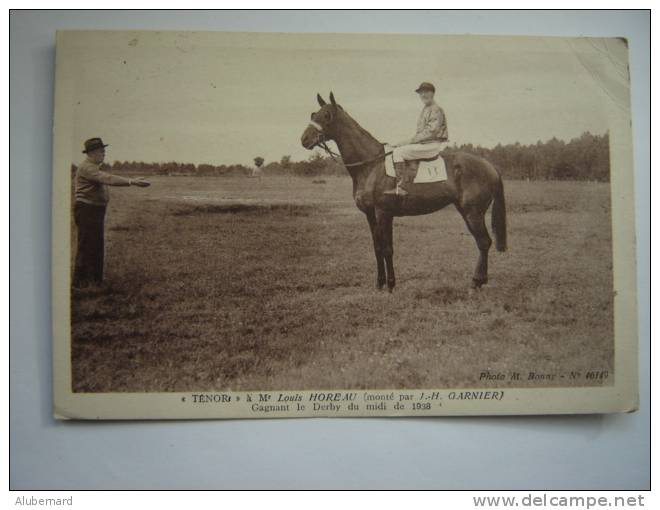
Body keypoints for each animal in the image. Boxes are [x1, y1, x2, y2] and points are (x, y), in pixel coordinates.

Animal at [302, 91, 508, 290]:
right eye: (314, 114)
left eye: (326, 115)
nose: (304, 139)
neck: (371, 165)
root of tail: (490, 166)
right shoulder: (371, 214)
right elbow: (377, 247)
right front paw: (380, 283)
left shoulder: (383, 213)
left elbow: (387, 249)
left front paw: (391, 285)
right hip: (466, 211)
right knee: (482, 242)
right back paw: (479, 281)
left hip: (473, 212)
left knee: (484, 242)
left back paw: (476, 282)